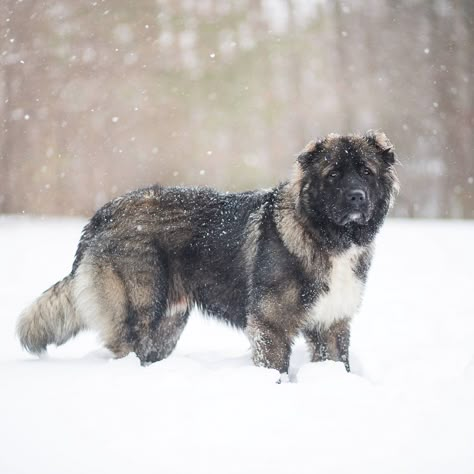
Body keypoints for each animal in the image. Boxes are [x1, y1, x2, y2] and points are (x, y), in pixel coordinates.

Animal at [16, 131, 398, 374]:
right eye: (333, 174)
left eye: (366, 171)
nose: (356, 197)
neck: (324, 235)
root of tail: (102, 214)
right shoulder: (270, 325)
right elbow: (275, 369)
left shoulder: (332, 324)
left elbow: (338, 364)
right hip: (139, 311)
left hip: (168, 325)